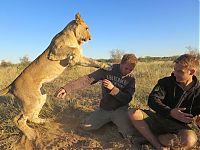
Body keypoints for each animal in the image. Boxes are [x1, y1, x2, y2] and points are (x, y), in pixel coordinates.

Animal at [0, 12, 108, 140]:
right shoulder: (55, 51)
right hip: (32, 101)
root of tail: (12, 84)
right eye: (87, 28)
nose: (90, 38)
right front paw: (72, 60)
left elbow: (92, 61)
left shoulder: (81, 59)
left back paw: (43, 121)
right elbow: (74, 50)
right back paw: (32, 134)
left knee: (30, 117)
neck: (74, 37)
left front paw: (106, 65)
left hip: (41, 96)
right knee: (18, 120)